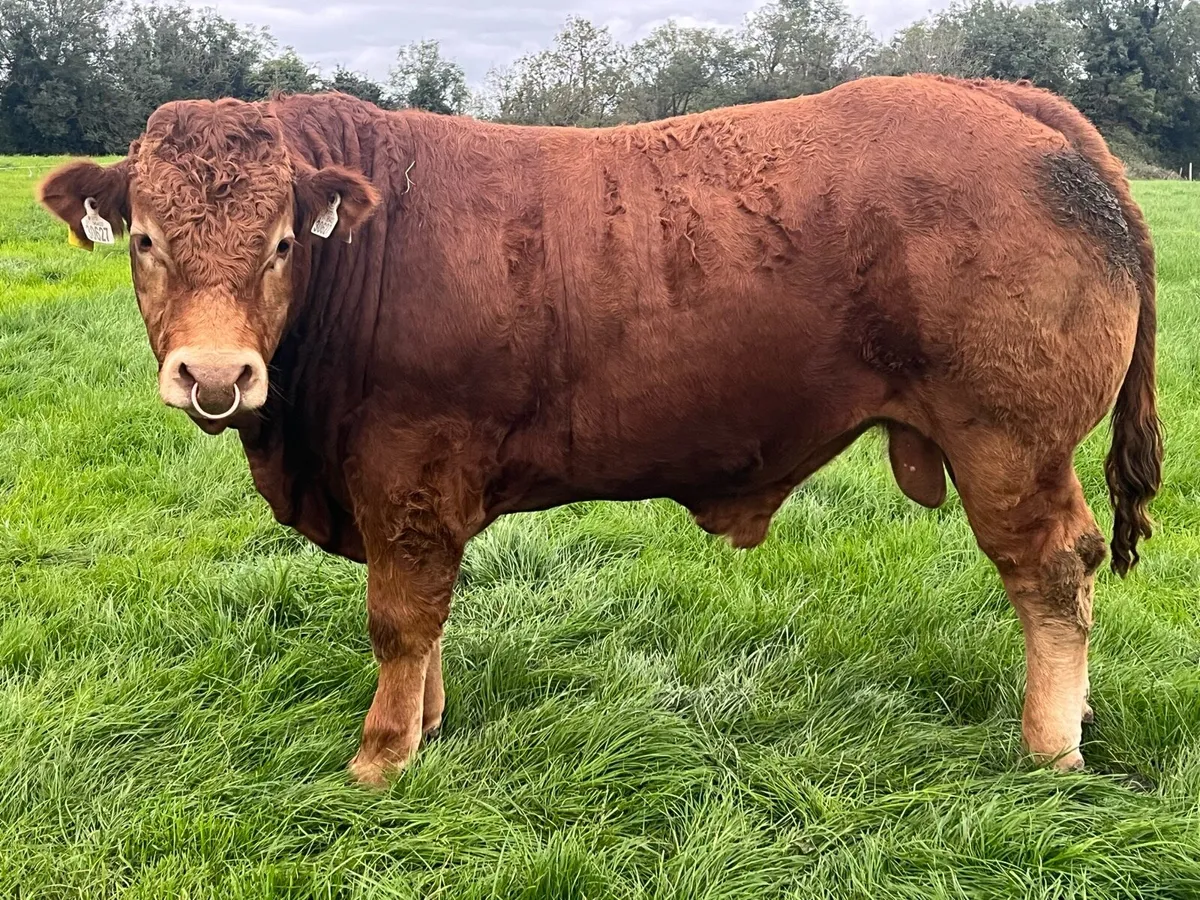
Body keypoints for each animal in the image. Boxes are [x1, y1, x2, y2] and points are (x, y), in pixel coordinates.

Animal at [38, 75, 1162, 786]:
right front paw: (427, 726)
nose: (215, 374)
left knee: (1053, 572)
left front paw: (380, 756)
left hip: (1009, 442)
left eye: (279, 244)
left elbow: (399, 615)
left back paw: (1049, 746)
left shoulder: (408, 470)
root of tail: (1000, 96)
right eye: (145, 238)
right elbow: (427, 620)